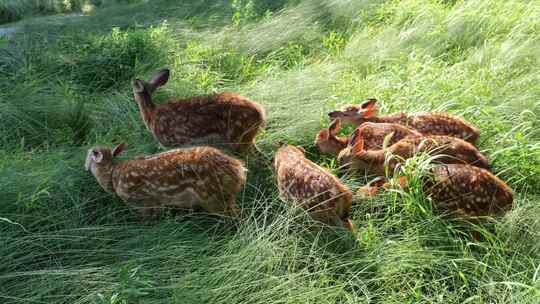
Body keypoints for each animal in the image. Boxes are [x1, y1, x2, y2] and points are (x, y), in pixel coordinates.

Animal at [85, 143, 247, 217]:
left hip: (213, 197)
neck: (113, 177)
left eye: (89, 154)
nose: (84, 166)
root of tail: (239, 170)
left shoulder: (144, 202)